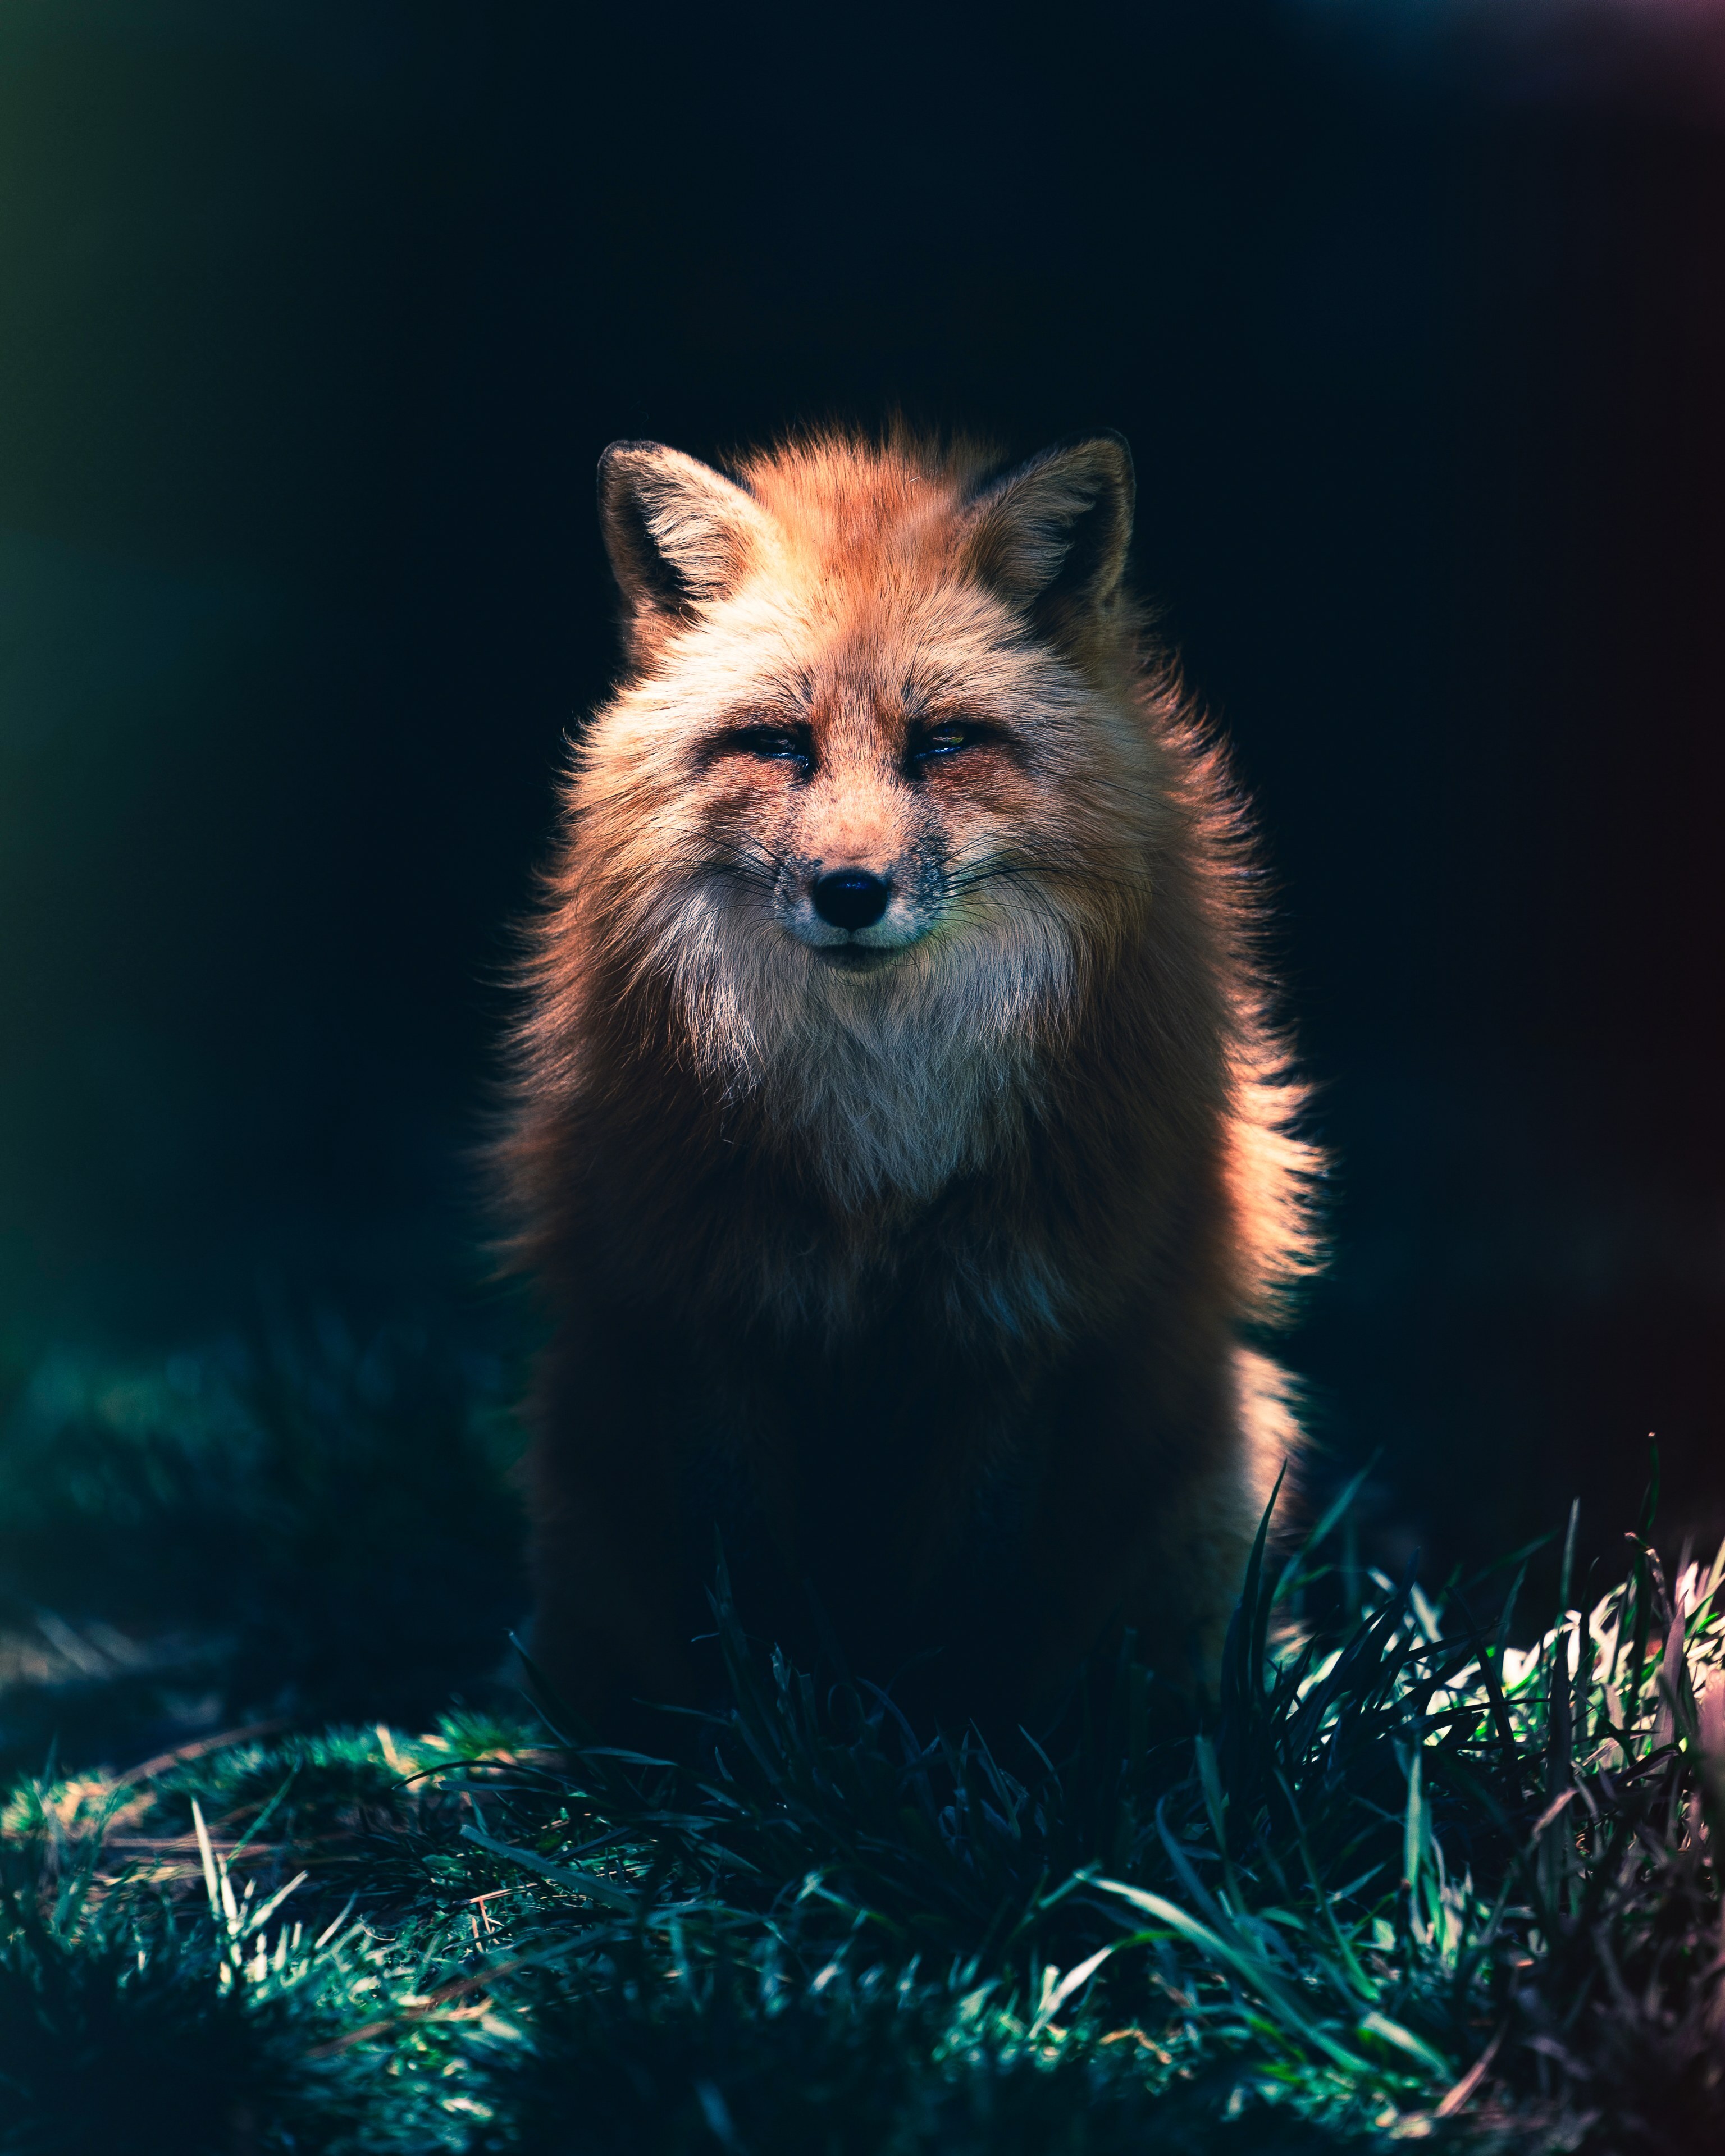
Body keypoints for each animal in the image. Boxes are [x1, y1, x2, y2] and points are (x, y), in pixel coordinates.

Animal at [497, 426, 1320, 1738]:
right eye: (779, 744)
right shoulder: (714, 1302)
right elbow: (749, 1587)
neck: (882, 1134)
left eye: (942, 743)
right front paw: (761, 1742)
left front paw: (950, 1746)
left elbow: (967, 1593)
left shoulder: (1015, 1313)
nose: (849, 893)